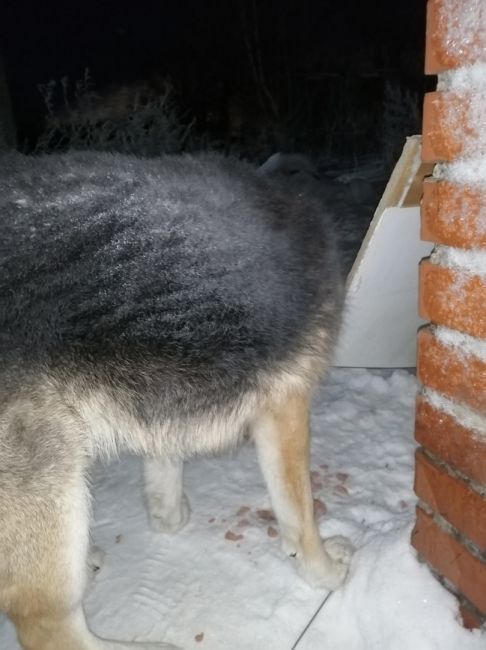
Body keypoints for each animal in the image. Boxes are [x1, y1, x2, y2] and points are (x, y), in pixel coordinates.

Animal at [0, 149, 352, 644]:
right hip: (56, 488)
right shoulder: (285, 407)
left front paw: (168, 517)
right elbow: (299, 521)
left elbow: (164, 469)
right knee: (48, 629)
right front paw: (324, 573)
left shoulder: (161, 404)